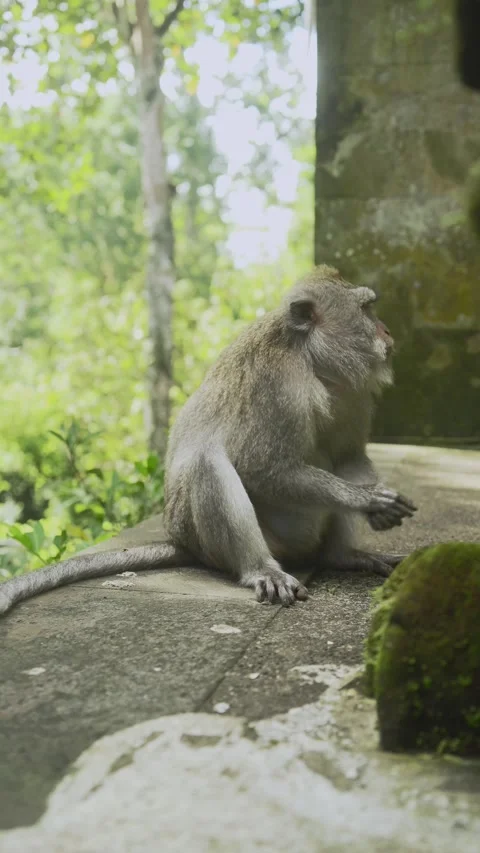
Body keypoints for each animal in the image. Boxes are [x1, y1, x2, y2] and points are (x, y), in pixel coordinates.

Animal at [0, 265, 416, 616]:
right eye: (366, 310)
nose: (387, 331)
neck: (313, 362)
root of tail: (182, 542)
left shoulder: (355, 393)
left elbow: (350, 457)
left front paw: (373, 503)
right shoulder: (277, 386)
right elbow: (263, 469)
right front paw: (366, 500)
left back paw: (341, 557)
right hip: (240, 540)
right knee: (207, 464)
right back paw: (261, 569)